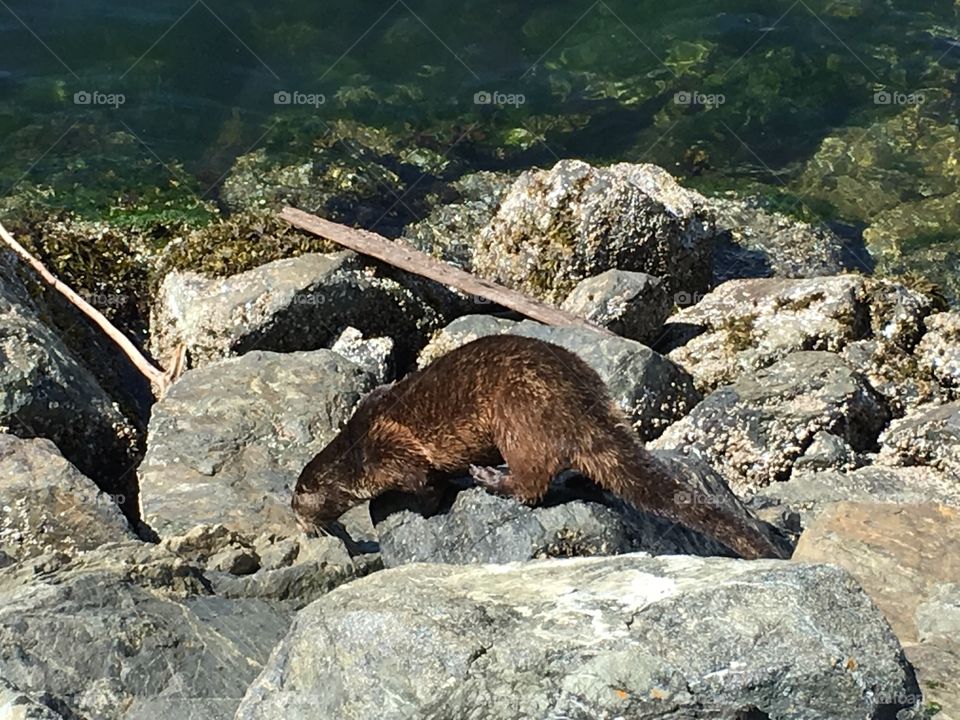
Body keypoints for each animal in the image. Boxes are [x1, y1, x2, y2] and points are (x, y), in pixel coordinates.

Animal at [294, 334, 788, 560]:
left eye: (298, 505)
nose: (303, 527)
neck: (356, 448)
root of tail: (583, 406)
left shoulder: (391, 453)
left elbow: (425, 487)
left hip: (518, 416)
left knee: (534, 482)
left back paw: (492, 478)